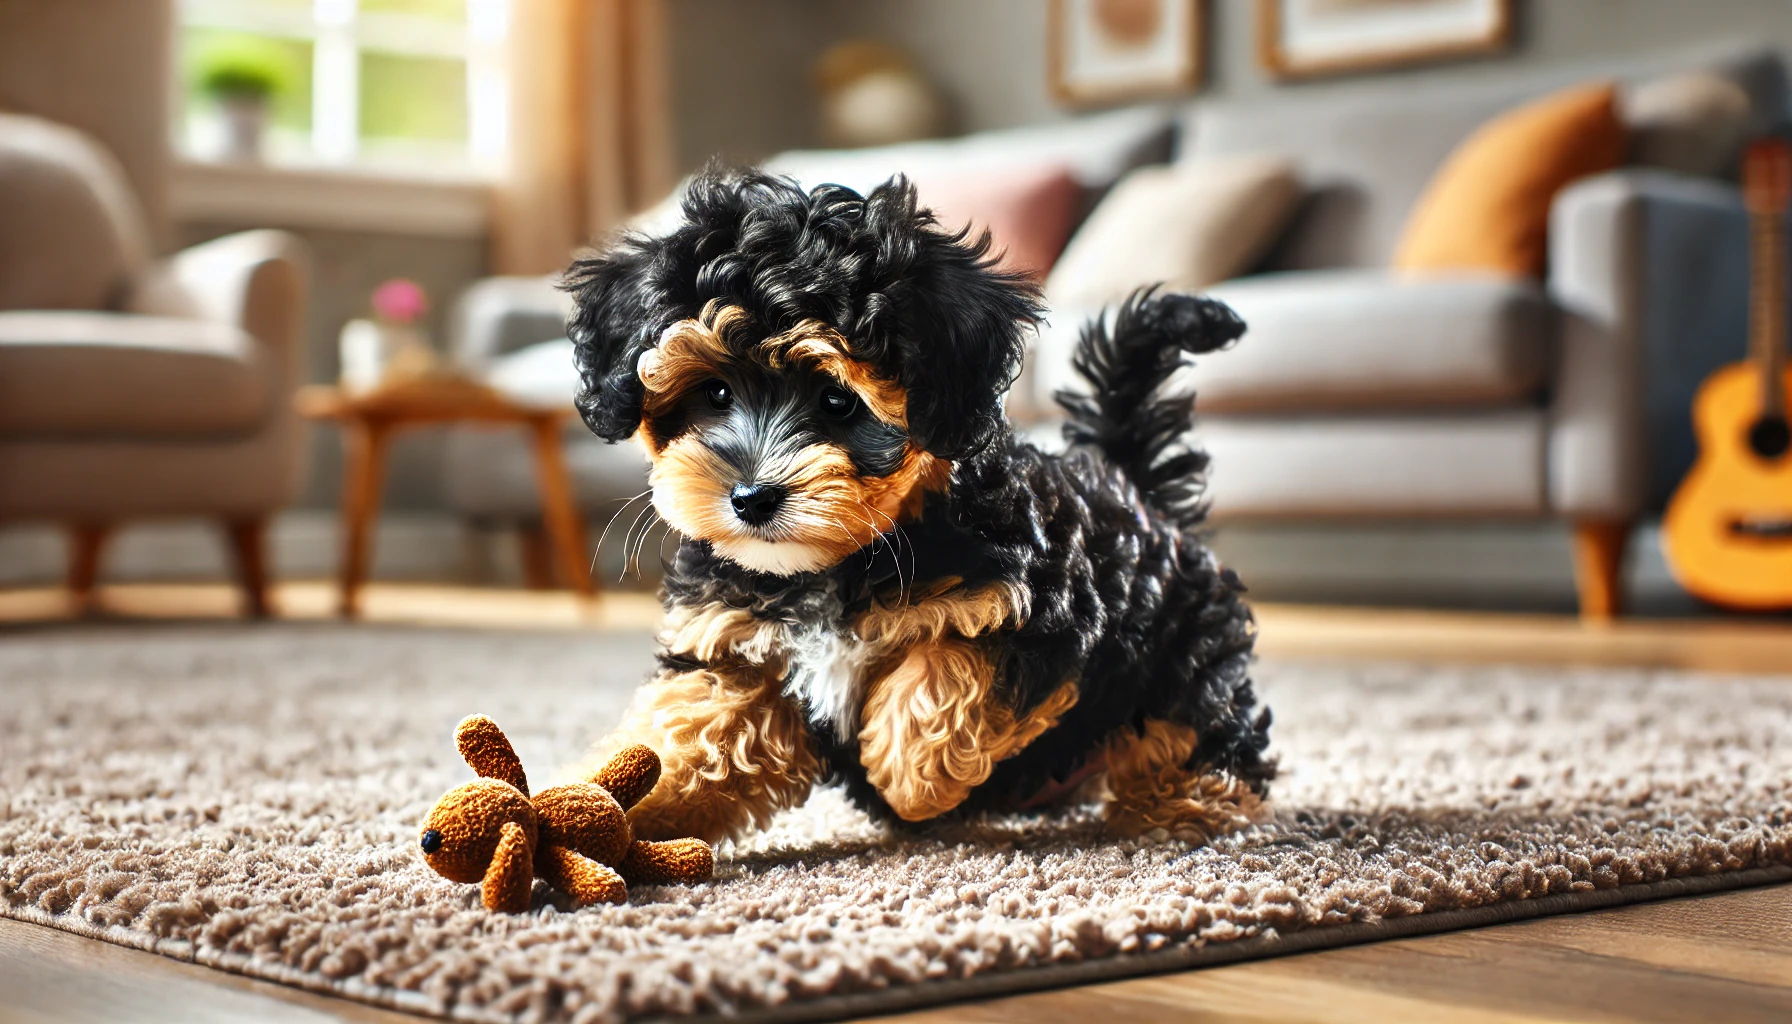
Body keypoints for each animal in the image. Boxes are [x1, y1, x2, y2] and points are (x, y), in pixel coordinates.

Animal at [566, 170, 1268, 850]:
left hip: (1181, 648)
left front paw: (910, 778)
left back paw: (1183, 809)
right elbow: (693, 733)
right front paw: (617, 808)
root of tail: (1127, 481)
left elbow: (948, 666)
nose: (751, 498)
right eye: (714, 393)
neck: (838, 564)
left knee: (1196, 723)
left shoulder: (1037, 613)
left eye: (838, 401)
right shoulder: (733, 638)